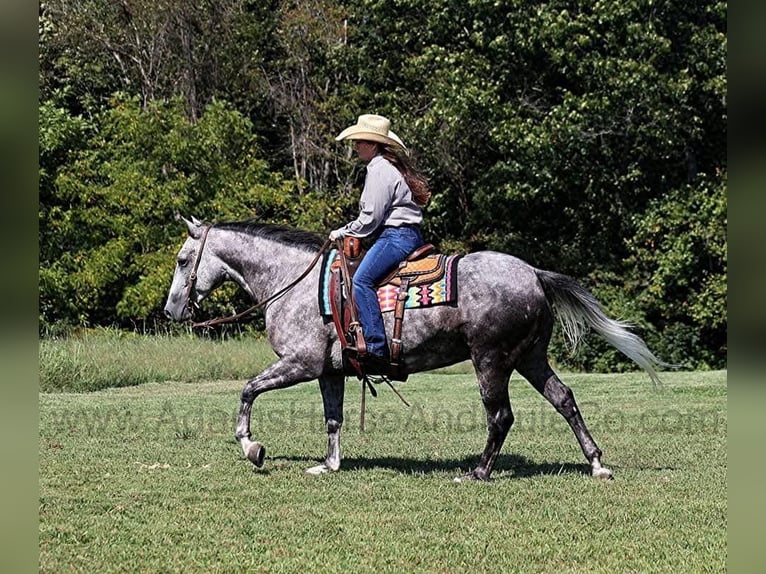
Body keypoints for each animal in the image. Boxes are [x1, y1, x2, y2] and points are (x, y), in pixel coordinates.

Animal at [163, 217, 665, 481]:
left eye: (184, 260)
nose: (171, 310)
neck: (294, 282)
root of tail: (534, 274)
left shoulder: (299, 363)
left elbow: (248, 390)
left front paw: (252, 447)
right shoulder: (328, 370)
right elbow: (332, 418)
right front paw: (329, 465)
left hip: (491, 361)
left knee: (500, 416)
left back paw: (478, 472)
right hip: (530, 357)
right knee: (564, 399)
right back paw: (596, 464)